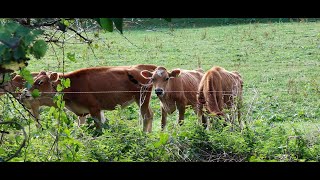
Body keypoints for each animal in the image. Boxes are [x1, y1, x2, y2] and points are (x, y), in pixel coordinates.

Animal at [20, 64, 158, 132]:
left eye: (40, 82)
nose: (25, 93)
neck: (72, 85)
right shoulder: (82, 112)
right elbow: (80, 127)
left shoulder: (95, 109)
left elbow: (99, 127)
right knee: (151, 114)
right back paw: (150, 133)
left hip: (142, 99)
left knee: (146, 116)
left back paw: (144, 134)